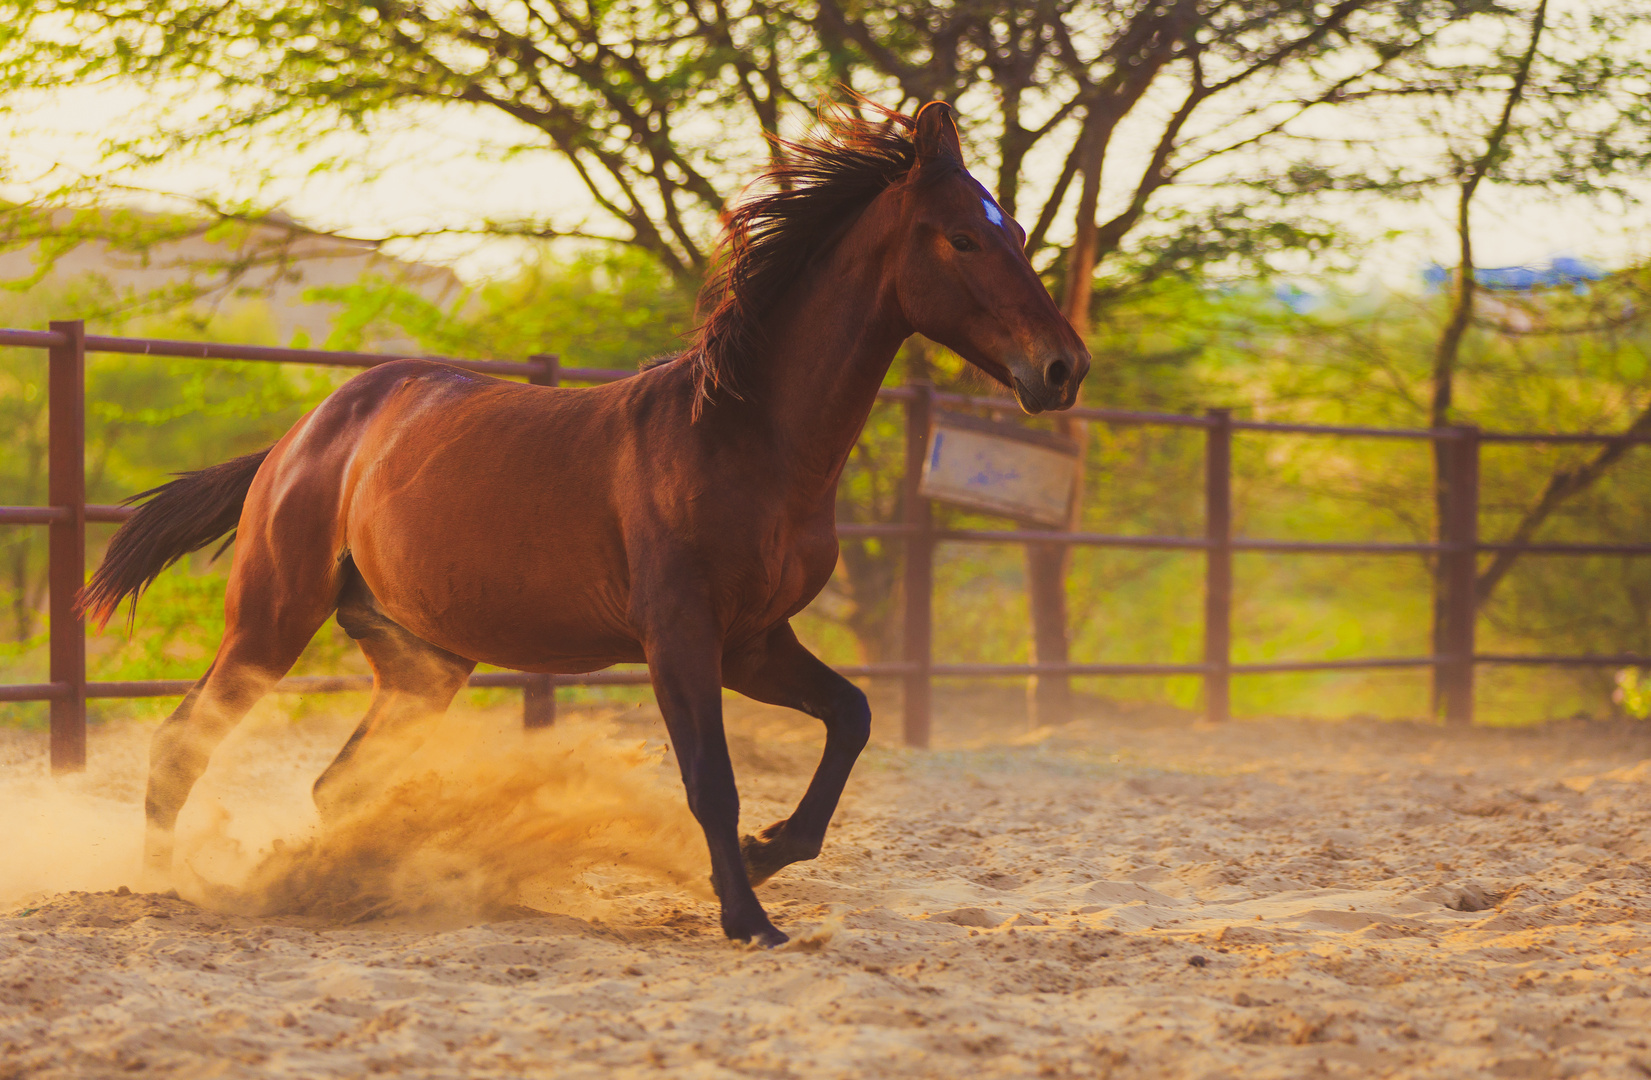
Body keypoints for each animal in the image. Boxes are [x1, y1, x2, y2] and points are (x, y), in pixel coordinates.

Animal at [80, 101, 1083, 951]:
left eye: (1014, 231)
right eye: (962, 236)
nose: (1062, 367)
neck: (741, 437)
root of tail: (300, 437)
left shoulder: (754, 642)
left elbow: (853, 717)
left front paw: (765, 856)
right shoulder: (681, 638)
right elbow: (712, 783)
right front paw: (747, 917)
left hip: (420, 664)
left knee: (335, 783)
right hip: (271, 621)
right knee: (181, 747)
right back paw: (166, 887)